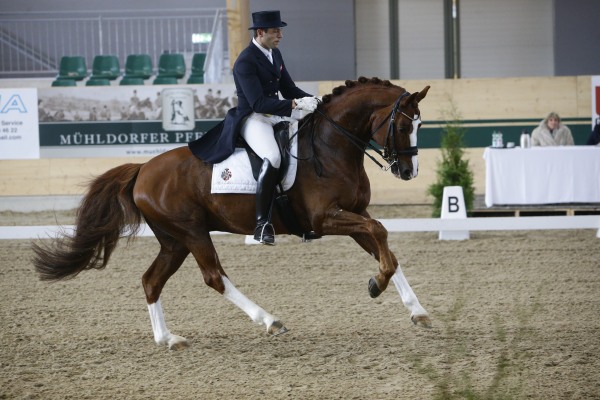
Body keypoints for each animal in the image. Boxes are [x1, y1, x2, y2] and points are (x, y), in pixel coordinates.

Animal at [32, 76, 432, 350]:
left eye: (420, 125)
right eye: (401, 125)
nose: (408, 172)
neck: (331, 147)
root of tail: (143, 169)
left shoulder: (353, 214)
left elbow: (384, 246)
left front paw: (416, 310)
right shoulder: (326, 218)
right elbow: (380, 232)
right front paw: (376, 285)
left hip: (174, 241)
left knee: (151, 281)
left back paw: (169, 338)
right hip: (192, 232)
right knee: (214, 276)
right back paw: (269, 320)